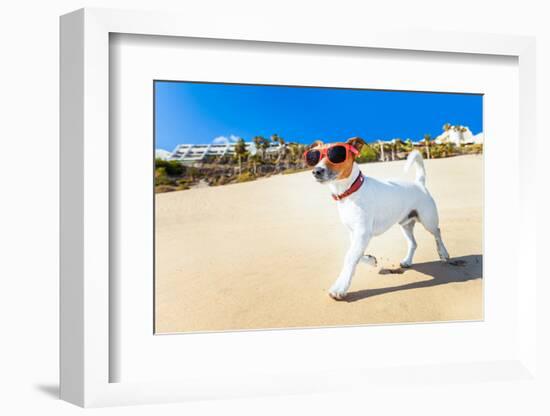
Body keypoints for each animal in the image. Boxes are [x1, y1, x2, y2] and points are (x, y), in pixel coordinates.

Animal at [304, 138, 450, 300]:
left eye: (336, 154)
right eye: (314, 157)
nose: (316, 171)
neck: (349, 192)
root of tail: (419, 183)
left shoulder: (363, 232)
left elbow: (350, 256)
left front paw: (340, 287)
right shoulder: (355, 233)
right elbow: (355, 254)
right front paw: (370, 259)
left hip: (428, 220)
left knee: (437, 233)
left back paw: (443, 253)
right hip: (405, 224)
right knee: (414, 243)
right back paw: (407, 261)